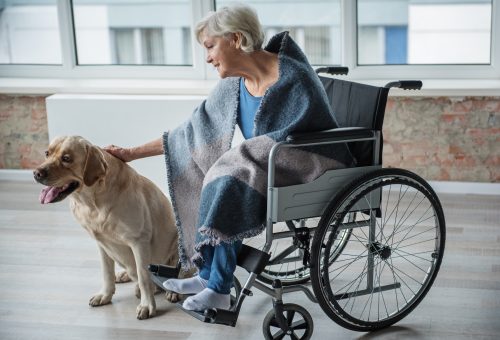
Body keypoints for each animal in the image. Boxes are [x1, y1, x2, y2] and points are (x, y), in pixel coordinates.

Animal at [33, 135, 179, 318]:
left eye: (66, 158)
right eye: (47, 153)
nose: (36, 173)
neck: (92, 202)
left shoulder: (139, 241)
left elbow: (144, 276)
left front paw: (147, 305)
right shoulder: (102, 243)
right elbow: (107, 273)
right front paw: (105, 295)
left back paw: (172, 291)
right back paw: (124, 275)